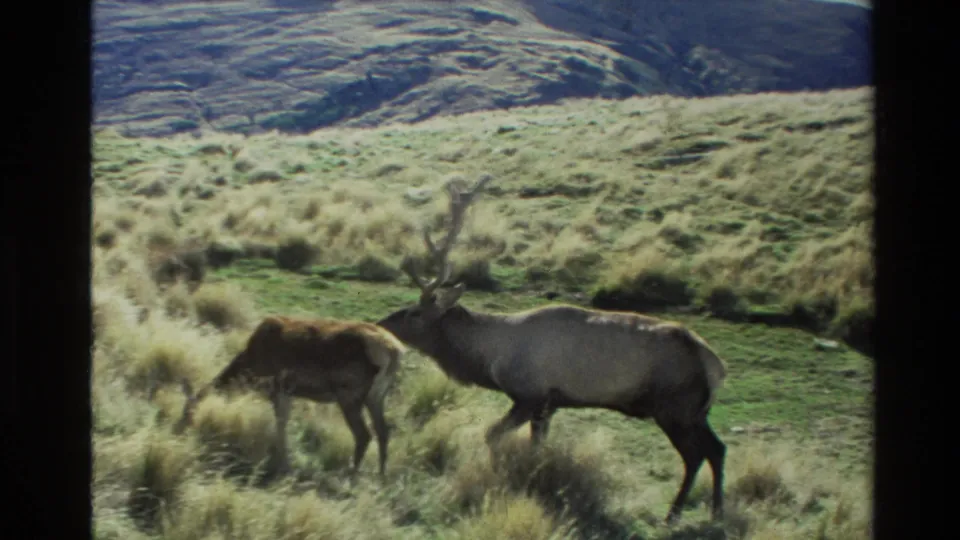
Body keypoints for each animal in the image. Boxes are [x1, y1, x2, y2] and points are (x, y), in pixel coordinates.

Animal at [172, 315, 407, 477]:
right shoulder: (287, 393)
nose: (177, 432)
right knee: (383, 431)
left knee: (363, 434)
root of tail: (394, 350)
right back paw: (381, 475)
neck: (250, 369)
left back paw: (351, 475)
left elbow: (281, 424)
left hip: (349, 393)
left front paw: (283, 465)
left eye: (187, 412)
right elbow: (282, 424)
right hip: (377, 396)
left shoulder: (279, 388)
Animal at [375, 173, 729, 525]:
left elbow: (492, 435)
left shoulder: (530, 396)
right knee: (718, 449)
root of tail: (716, 366)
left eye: (414, 313)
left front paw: (499, 477)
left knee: (696, 455)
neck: (491, 359)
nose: (380, 324)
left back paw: (674, 514)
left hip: (675, 408)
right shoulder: (549, 405)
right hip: (696, 412)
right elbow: (536, 446)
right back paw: (716, 511)